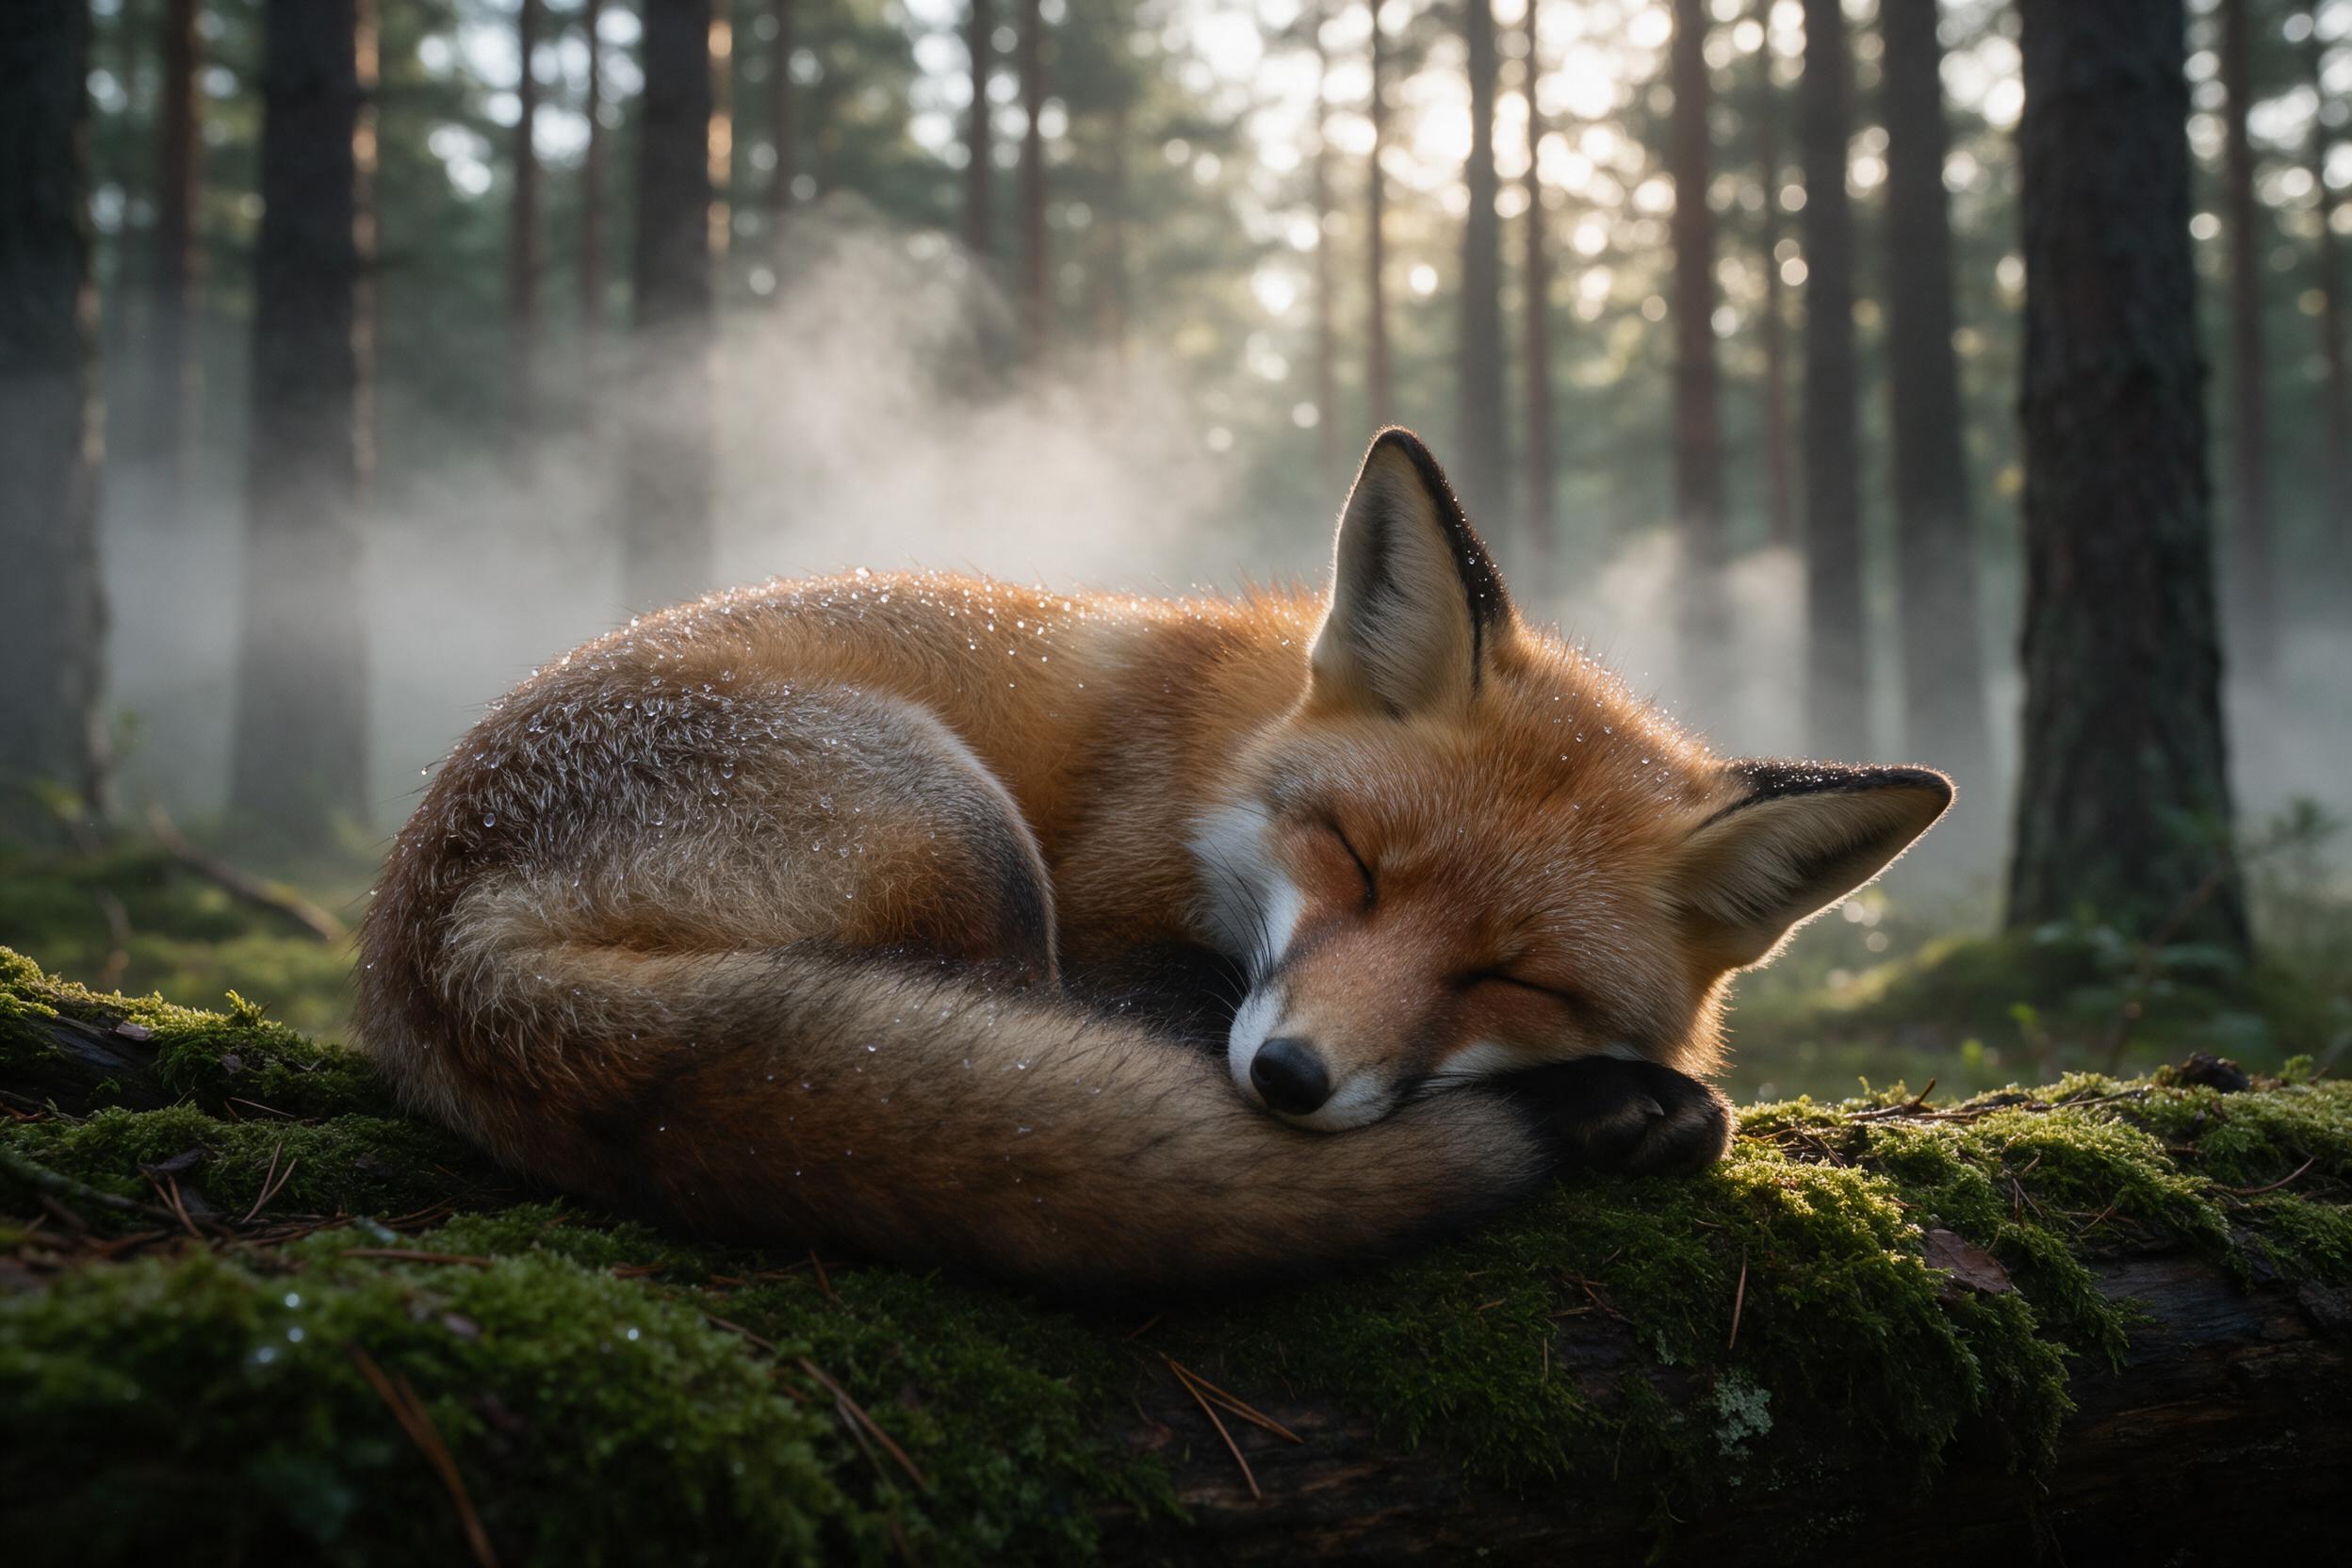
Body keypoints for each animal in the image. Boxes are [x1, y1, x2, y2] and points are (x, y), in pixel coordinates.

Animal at [355, 428, 1951, 1296]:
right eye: (1353, 863)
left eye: (1514, 978)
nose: (1291, 1082)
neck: (1214, 756)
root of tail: (428, 936)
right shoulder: (1117, 921)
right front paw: (1630, 1103)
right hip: (971, 832)